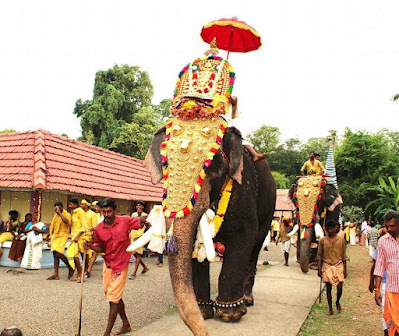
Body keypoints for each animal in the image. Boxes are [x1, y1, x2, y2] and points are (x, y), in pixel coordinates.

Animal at [142, 48, 276, 334]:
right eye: (165, 162)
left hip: (269, 209)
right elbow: (194, 248)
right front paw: (205, 311)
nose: (203, 331)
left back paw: (247, 300)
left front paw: (230, 315)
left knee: (255, 246)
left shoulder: (243, 190)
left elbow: (243, 238)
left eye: (213, 163)